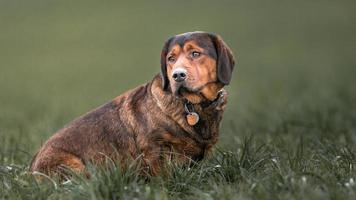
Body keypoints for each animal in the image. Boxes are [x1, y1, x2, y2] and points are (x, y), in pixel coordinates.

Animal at [29, 30, 234, 176]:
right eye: (171, 58)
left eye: (195, 53)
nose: (177, 75)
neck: (192, 105)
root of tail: (30, 170)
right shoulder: (154, 148)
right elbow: (162, 177)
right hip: (74, 167)